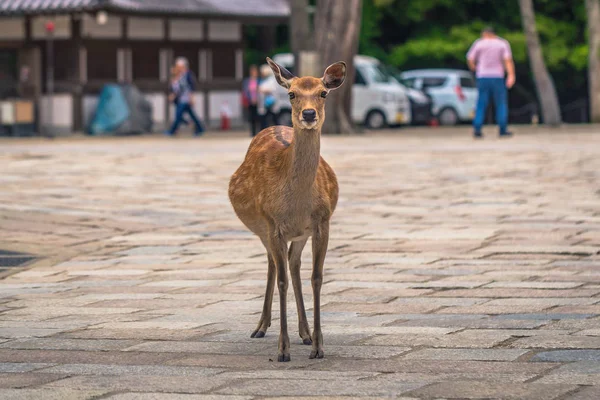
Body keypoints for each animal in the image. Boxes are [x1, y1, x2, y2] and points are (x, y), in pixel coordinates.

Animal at [227, 57, 344, 360]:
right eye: (291, 94)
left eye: (323, 92)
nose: (309, 114)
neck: (297, 205)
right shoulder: (273, 223)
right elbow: (281, 281)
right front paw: (282, 350)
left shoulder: (322, 222)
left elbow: (316, 277)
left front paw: (318, 346)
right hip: (262, 229)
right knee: (273, 264)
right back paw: (260, 327)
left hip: (299, 234)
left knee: (292, 263)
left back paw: (305, 333)